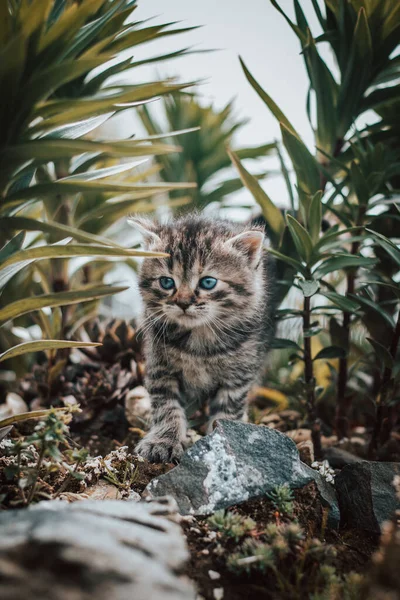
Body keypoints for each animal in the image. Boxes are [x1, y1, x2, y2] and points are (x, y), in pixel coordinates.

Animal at [130, 216, 276, 464]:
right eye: (166, 282)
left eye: (208, 283)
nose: (183, 302)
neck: (199, 339)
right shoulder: (160, 367)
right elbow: (167, 407)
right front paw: (163, 441)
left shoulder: (238, 375)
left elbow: (227, 412)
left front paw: (223, 442)